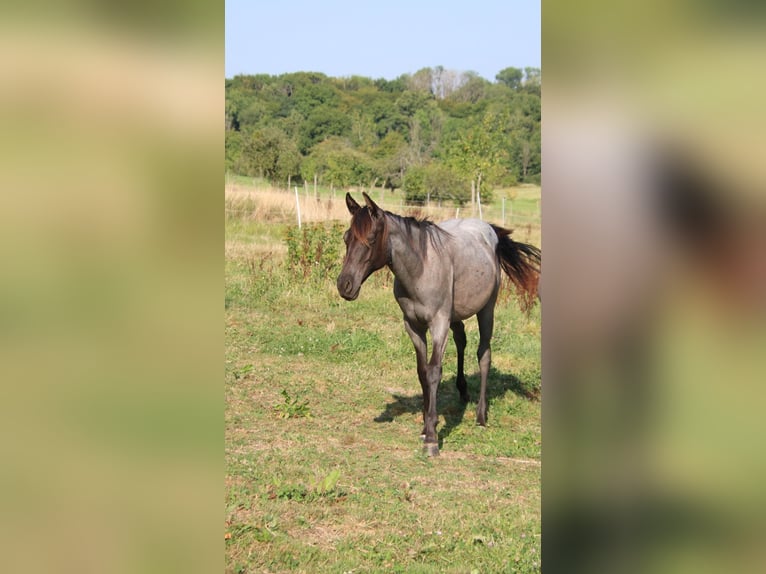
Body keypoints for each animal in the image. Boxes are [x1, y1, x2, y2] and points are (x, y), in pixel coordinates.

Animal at [336, 192, 541, 456]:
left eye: (370, 238)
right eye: (346, 238)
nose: (345, 285)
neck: (420, 269)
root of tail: (489, 230)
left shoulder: (438, 324)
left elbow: (434, 371)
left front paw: (432, 439)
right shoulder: (413, 326)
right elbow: (422, 371)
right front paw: (425, 426)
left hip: (486, 309)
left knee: (484, 354)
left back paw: (481, 416)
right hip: (455, 317)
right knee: (461, 340)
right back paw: (463, 391)